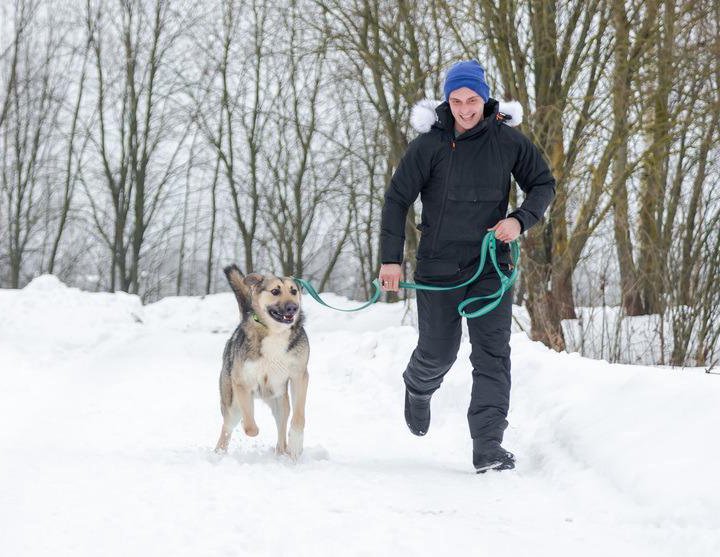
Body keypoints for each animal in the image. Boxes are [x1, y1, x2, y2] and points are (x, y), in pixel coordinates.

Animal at [217, 264, 312, 460]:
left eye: (293, 291)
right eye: (275, 291)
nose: (293, 307)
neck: (275, 332)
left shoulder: (299, 376)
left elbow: (298, 418)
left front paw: (296, 443)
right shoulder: (242, 383)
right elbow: (250, 428)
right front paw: (250, 427)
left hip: (281, 403)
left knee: (282, 427)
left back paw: (283, 451)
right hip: (232, 406)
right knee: (227, 429)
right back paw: (218, 454)